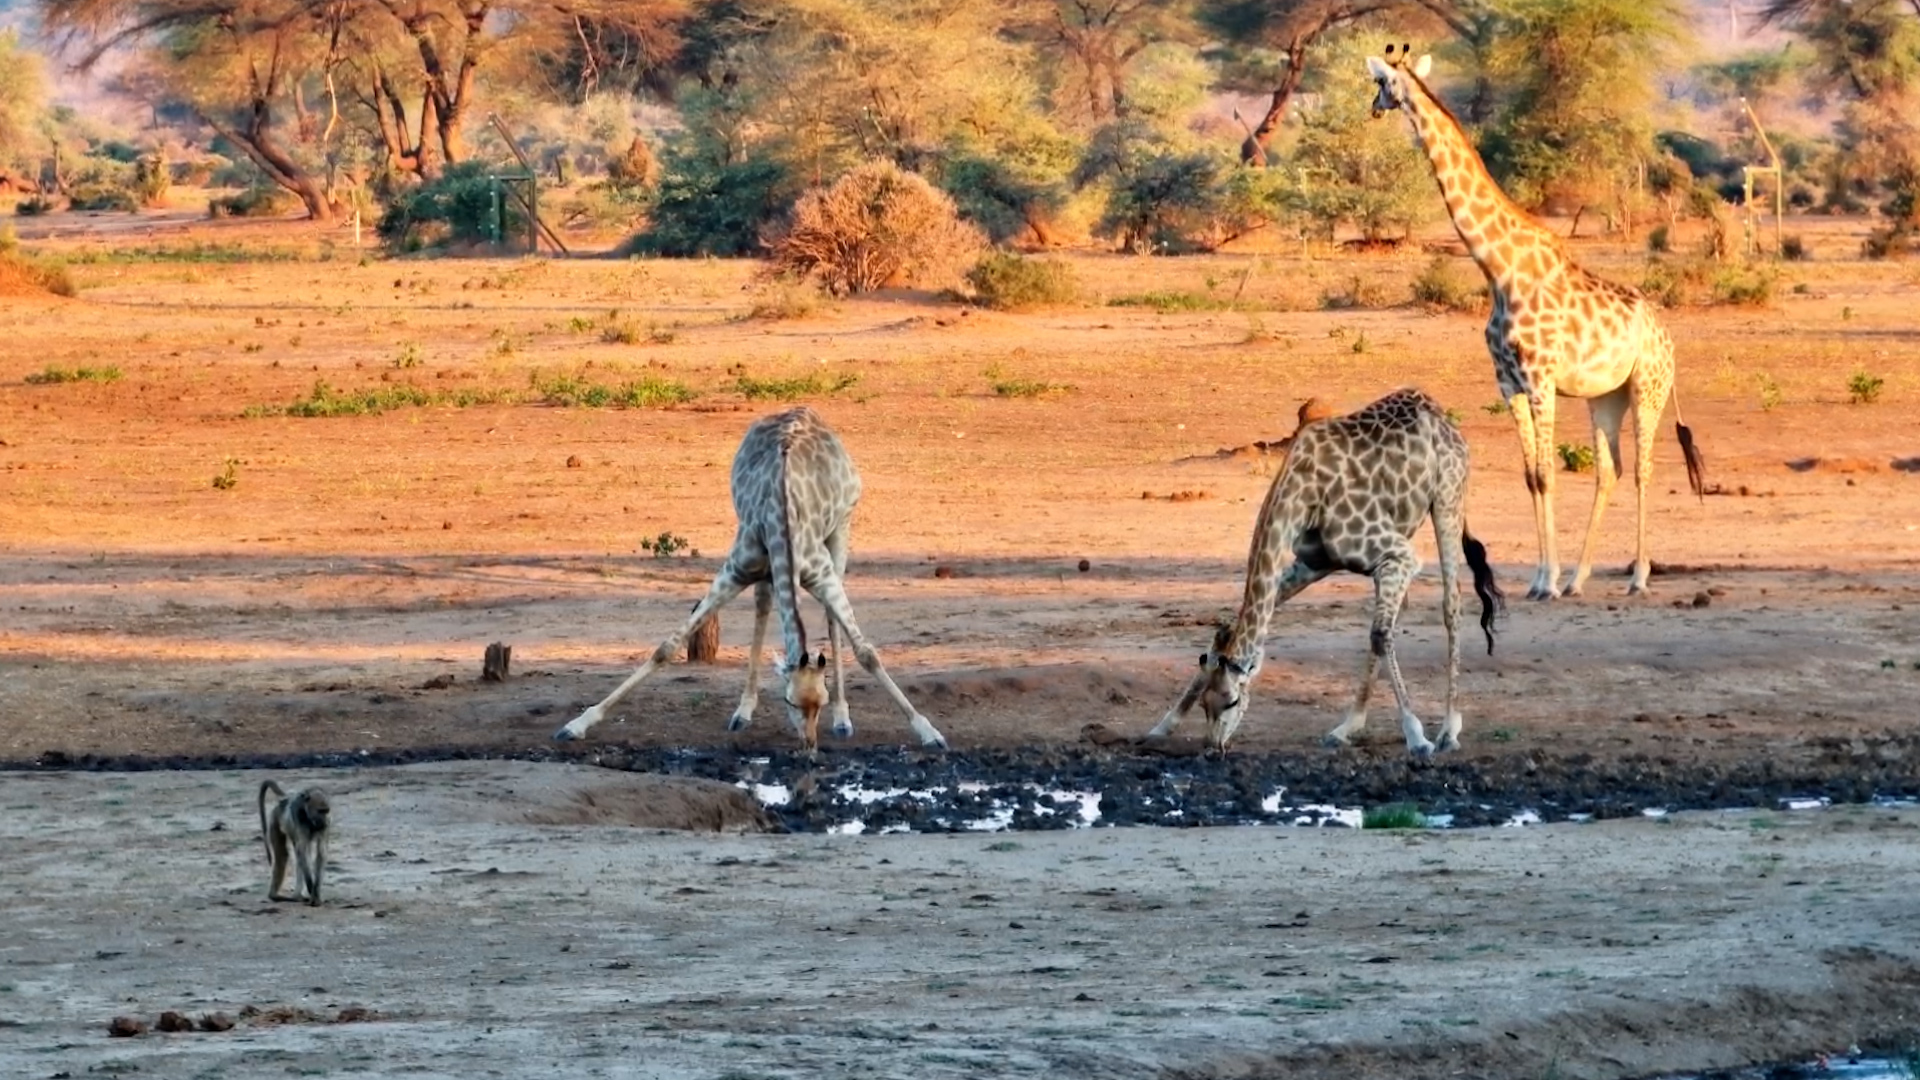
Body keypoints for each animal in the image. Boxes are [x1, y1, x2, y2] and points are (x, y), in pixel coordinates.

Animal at [552, 407, 946, 752]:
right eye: (790, 701)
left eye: (819, 701)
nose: (809, 745)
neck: (783, 522)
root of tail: (806, 410)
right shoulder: (737, 568)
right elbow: (667, 646)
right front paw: (577, 724)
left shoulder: (820, 573)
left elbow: (868, 653)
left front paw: (929, 732)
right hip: (765, 566)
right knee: (763, 605)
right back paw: (743, 710)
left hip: (842, 529)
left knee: (830, 618)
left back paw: (843, 719)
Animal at [1147, 388, 1503, 757]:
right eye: (1205, 704)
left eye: (1232, 701)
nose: (1213, 747)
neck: (1302, 493)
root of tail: (1441, 415)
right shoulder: (1316, 561)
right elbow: (1231, 627)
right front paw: (1162, 726)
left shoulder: (1399, 554)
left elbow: (1380, 634)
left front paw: (1417, 738)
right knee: (1394, 618)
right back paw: (1346, 729)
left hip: (1447, 499)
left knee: (1450, 606)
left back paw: (1448, 731)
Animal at [1366, 45, 1705, 599]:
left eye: (1381, 83)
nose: (1374, 108)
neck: (1500, 269)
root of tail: (1667, 335)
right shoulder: (1509, 381)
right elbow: (1532, 475)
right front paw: (1545, 579)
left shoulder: (1541, 378)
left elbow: (1548, 472)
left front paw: (1548, 580)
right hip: (1604, 395)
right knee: (1610, 470)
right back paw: (1582, 578)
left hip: (1647, 387)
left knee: (1642, 469)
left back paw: (1637, 576)